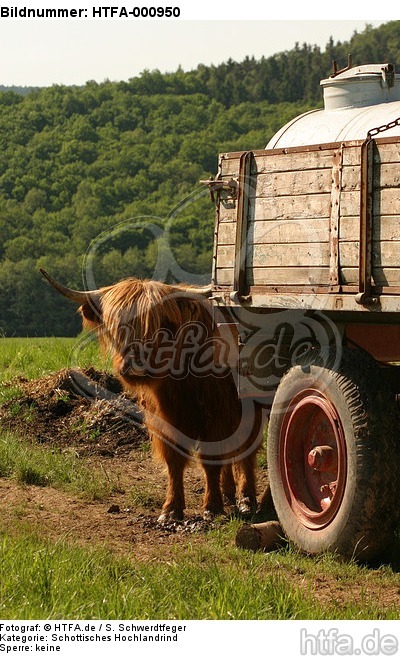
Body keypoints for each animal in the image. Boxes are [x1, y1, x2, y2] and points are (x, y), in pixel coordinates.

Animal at [40, 269, 265, 523]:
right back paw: (229, 493)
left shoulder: (216, 414)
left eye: (161, 326)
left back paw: (246, 499)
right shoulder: (165, 419)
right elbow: (174, 461)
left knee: (246, 452)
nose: (135, 366)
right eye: (117, 327)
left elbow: (213, 460)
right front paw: (171, 509)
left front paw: (212, 506)